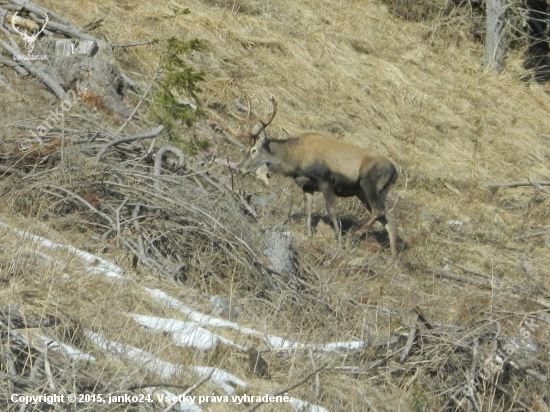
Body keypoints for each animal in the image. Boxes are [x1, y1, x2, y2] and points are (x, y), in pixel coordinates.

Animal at [231, 96, 398, 254]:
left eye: (253, 150)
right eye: (246, 149)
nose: (239, 168)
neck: (297, 161)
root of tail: (395, 173)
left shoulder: (325, 180)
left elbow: (331, 210)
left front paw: (339, 240)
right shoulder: (307, 186)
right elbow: (308, 210)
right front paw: (308, 234)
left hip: (368, 183)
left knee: (379, 212)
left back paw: (355, 235)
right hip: (367, 193)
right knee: (388, 219)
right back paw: (393, 255)